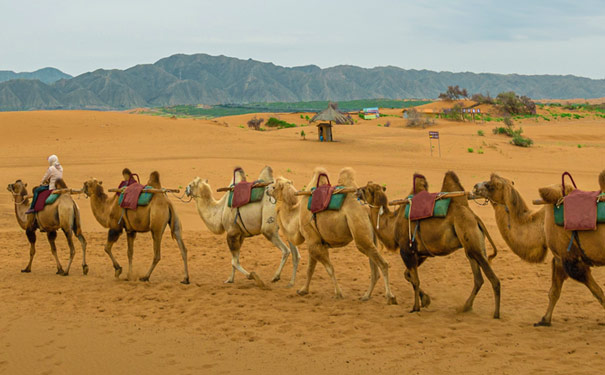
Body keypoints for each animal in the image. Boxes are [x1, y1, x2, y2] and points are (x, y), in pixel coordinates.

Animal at [286, 169, 398, 304]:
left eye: (273, 186)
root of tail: (366, 210)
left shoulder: (312, 239)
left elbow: (329, 268)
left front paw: (338, 293)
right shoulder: (315, 241)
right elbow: (310, 268)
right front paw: (303, 290)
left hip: (359, 232)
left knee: (383, 264)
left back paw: (390, 297)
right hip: (370, 237)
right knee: (374, 269)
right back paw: (366, 296)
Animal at [354, 173, 500, 318]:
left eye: (367, 188)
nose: (357, 191)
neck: (392, 225)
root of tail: (475, 217)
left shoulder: (406, 251)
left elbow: (415, 280)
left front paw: (415, 307)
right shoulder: (421, 253)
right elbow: (408, 275)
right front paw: (425, 300)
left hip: (473, 242)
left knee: (493, 279)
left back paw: (496, 313)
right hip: (471, 248)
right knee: (478, 279)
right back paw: (465, 307)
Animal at [532, 170, 605, 326]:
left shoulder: (567, 256)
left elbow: (597, 291)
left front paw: (544, 319)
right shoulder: (560, 258)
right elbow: (554, 291)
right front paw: (545, 320)